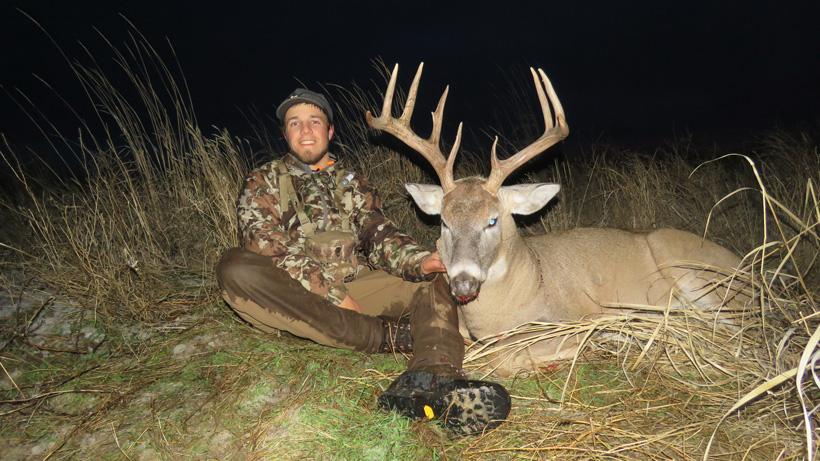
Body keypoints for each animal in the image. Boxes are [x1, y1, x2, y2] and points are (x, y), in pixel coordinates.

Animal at [366, 63, 750, 376]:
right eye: (444, 222)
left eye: (492, 221)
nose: (462, 284)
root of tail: (749, 273)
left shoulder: (572, 318)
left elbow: (504, 356)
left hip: (696, 274)